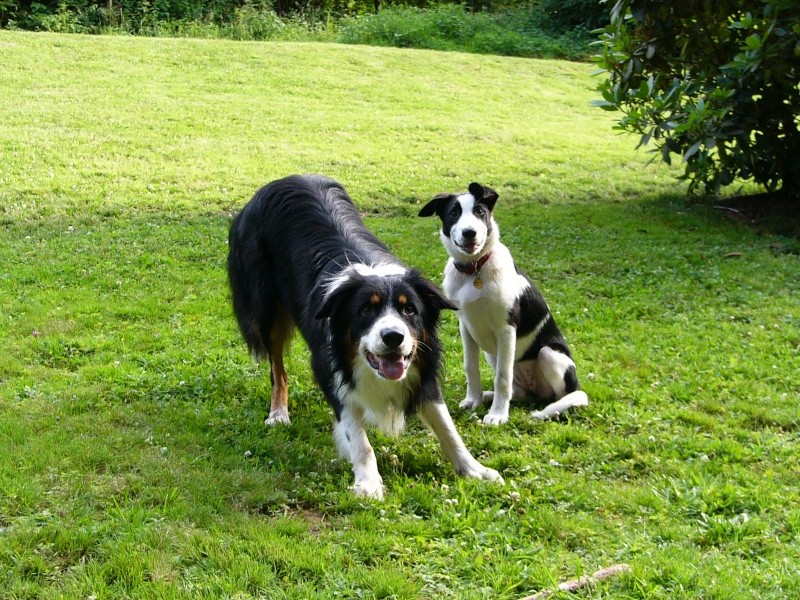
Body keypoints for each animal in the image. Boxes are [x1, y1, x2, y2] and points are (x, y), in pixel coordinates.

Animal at [228, 176, 500, 500]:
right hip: (266, 307)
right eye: (366, 310)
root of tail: (278, 182)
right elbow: (358, 436)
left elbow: (447, 427)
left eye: (409, 309)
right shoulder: (331, 367)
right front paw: (368, 482)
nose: (393, 337)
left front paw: (474, 469)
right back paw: (279, 413)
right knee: (277, 368)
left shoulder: (422, 365)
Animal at [418, 180, 588, 424]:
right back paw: (486, 395)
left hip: (550, 354)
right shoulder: (465, 326)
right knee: (519, 393)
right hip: (493, 355)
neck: (475, 269)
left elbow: (502, 376)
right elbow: (471, 366)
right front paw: (474, 400)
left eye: (480, 212)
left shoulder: (506, 330)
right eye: (453, 213)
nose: (469, 233)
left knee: (562, 396)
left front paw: (497, 415)